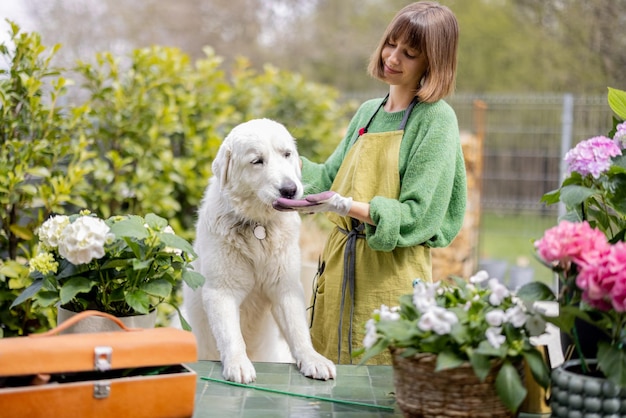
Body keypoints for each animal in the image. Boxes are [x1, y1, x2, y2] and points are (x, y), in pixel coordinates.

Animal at [182, 119, 336, 384]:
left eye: (287, 154)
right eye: (257, 161)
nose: (289, 190)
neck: (258, 226)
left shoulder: (285, 287)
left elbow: (297, 329)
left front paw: (312, 359)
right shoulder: (221, 290)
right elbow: (231, 335)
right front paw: (238, 364)